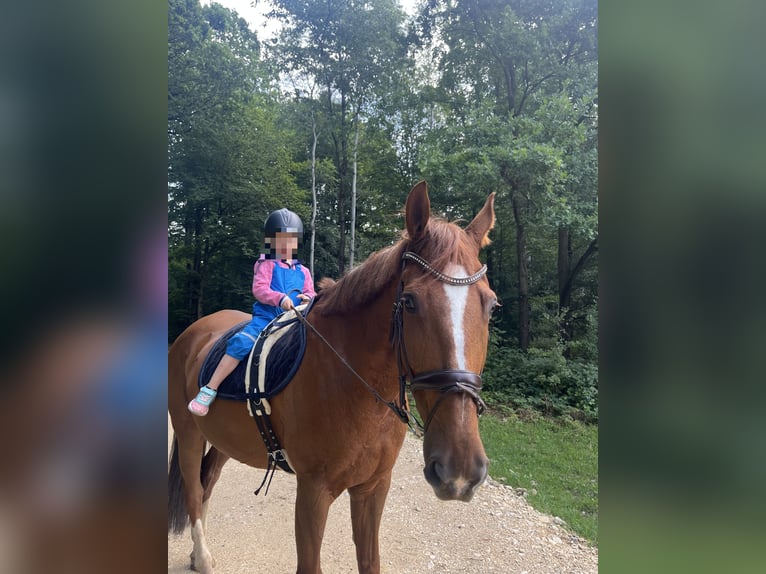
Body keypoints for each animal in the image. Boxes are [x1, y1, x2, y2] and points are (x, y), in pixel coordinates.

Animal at [168, 181, 497, 574]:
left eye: (491, 305)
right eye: (411, 302)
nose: (459, 470)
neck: (358, 390)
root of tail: (193, 332)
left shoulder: (374, 488)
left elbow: (370, 561)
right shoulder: (314, 491)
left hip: (221, 441)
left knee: (207, 483)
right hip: (188, 433)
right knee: (192, 489)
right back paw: (202, 555)